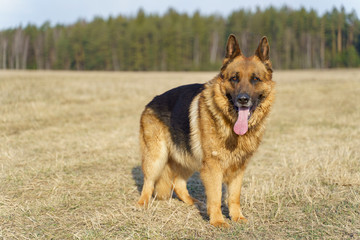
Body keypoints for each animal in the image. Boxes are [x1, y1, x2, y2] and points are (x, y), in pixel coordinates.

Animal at [138, 33, 276, 227]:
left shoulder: (238, 168)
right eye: (234, 78)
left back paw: (194, 202)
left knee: (177, 183)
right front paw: (217, 221)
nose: (243, 100)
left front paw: (237, 217)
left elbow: (234, 197)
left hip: (188, 158)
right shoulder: (212, 167)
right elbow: (216, 196)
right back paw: (142, 203)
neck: (229, 123)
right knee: (148, 182)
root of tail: (150, 102)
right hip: (157, 157)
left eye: (255, 79)